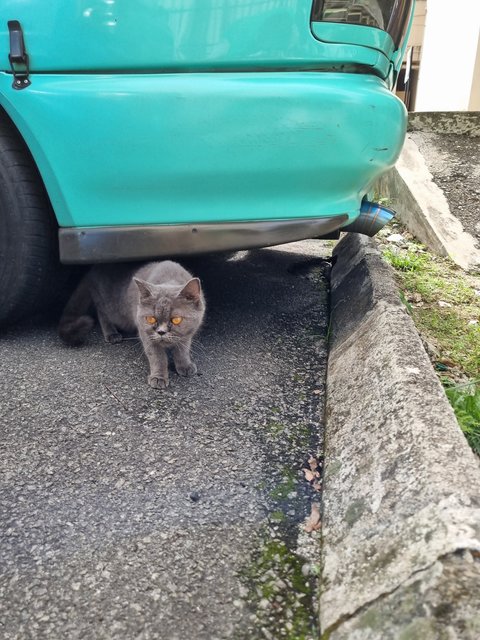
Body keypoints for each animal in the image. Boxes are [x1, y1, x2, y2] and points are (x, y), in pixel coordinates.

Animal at [58, 262, 204, 390]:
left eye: (176, 320)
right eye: (150, 319)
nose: (161, 332)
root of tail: (94, 269)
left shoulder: (188, 333)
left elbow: (182, 349)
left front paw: (185, 366)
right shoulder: (145, 333)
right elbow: (157, 356)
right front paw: (159, 378)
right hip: (112, 307)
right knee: (102, 313)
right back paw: (112, 333)